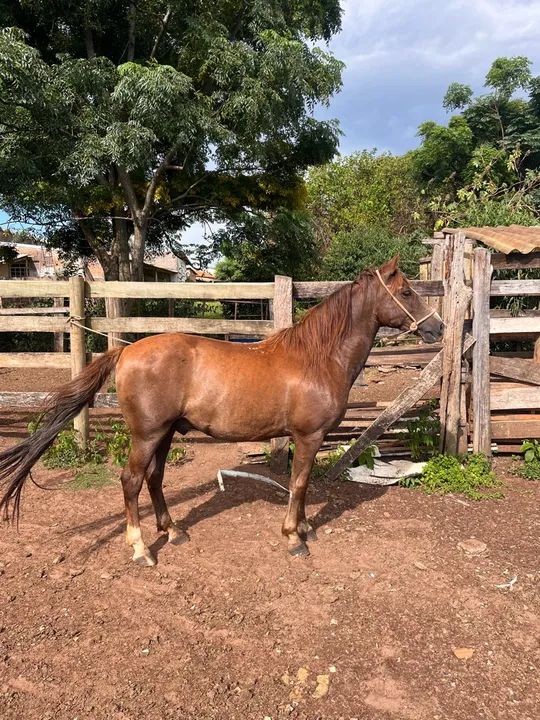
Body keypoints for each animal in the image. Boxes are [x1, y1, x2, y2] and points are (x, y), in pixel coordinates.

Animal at [0, 257, 444, 564]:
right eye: (407, 292)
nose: (437, 327)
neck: (317, 358)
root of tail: (126, 350)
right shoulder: (308, 437)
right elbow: (300, 483)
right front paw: (294, 536)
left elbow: (301, 486)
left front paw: (304, 528)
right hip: (147, 434)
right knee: (131, 481)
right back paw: (141, 548)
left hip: (165, 434)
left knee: (155, 479)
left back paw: (173, 531)